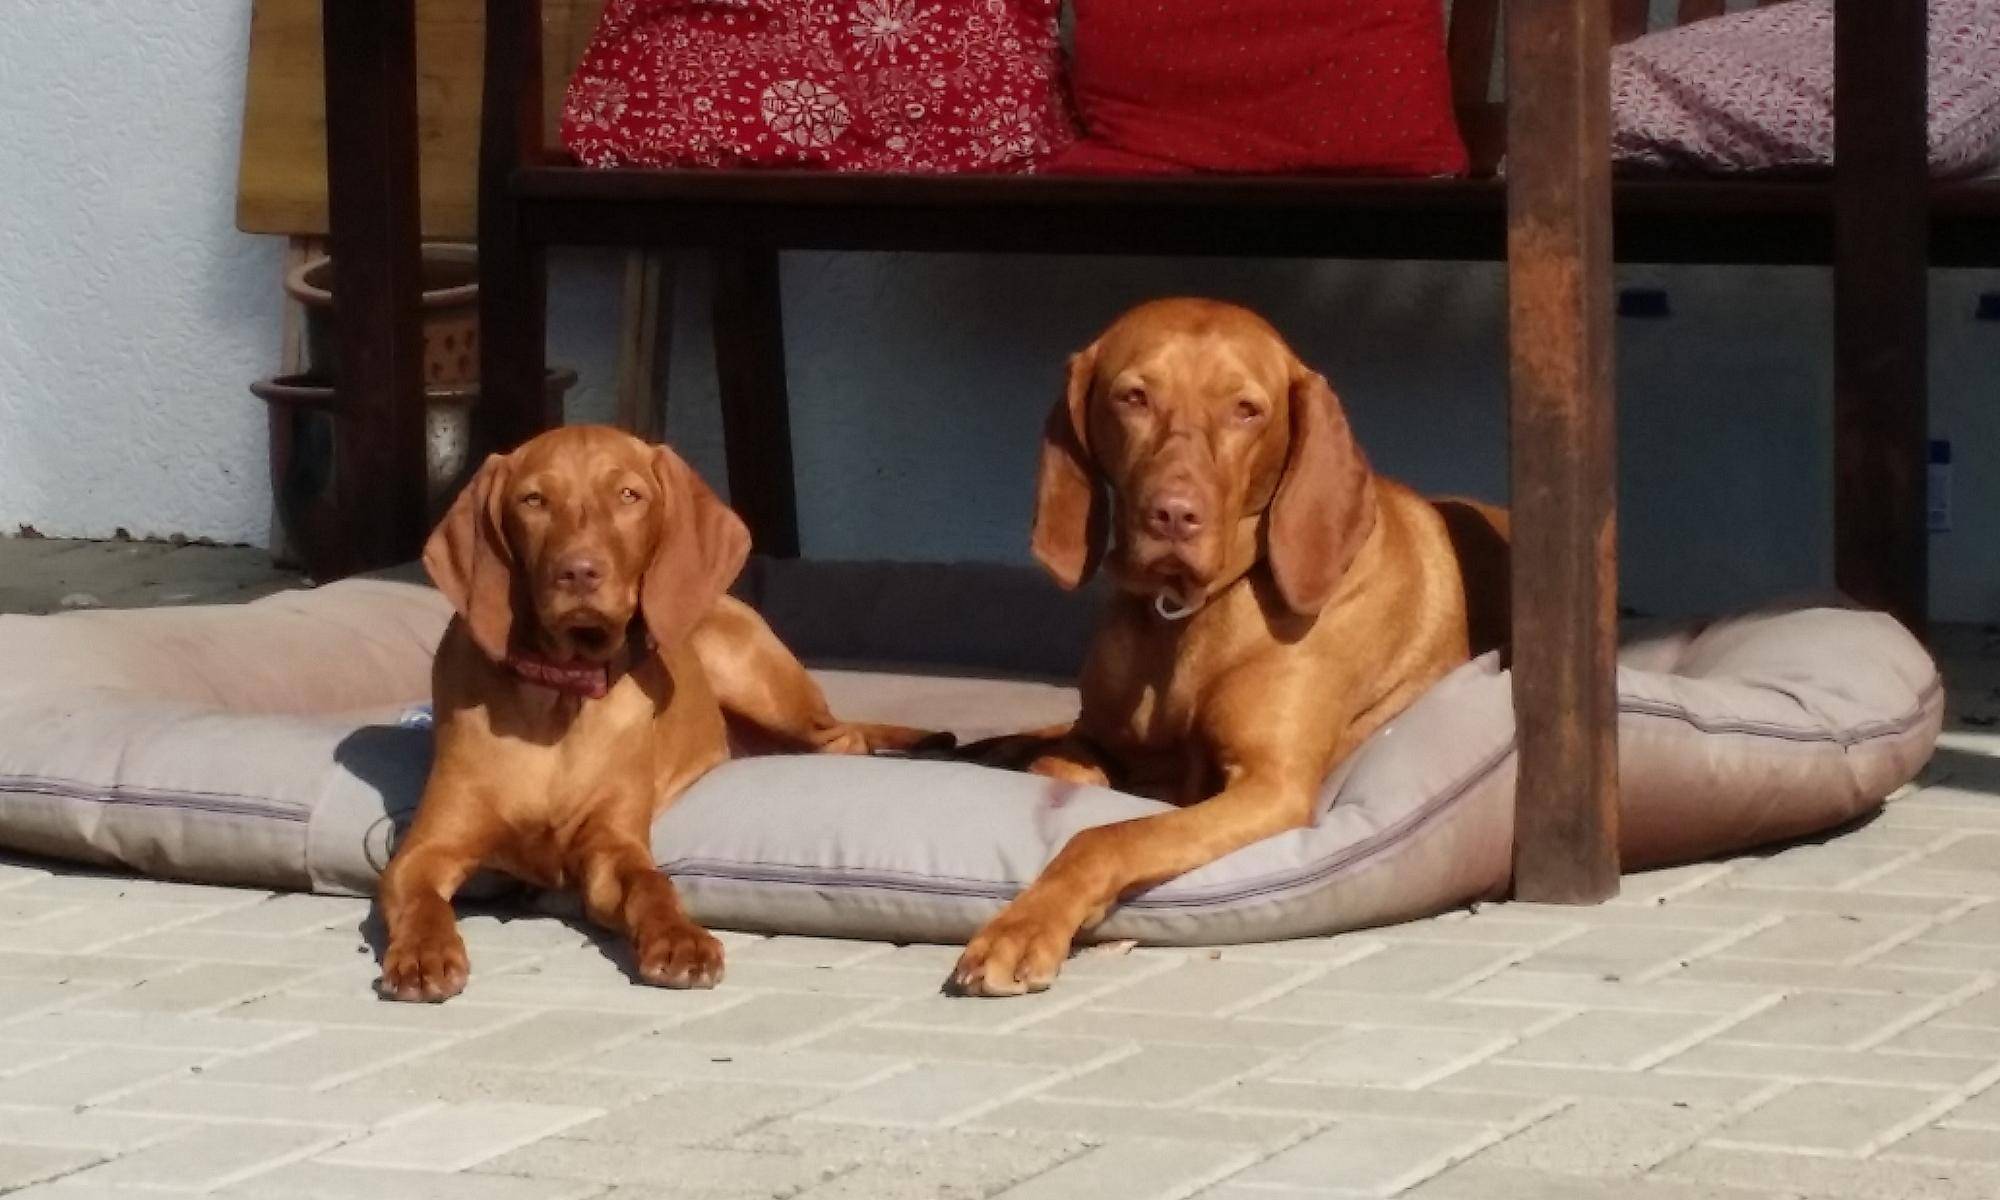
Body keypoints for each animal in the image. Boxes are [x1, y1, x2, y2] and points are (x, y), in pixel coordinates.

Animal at [378, 426, 940, 1000]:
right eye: (533, 501)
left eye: (629, 495)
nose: (578, 572)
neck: (560, 697)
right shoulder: (425, 849)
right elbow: (421, 901)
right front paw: (424, 952)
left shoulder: (613, 845)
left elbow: (652, 885)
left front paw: (680, 940)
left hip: (757, 679)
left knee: (844, 740)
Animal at [948, 298, 1504, 992]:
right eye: (1133, 397)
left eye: (1246, 410)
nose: (1173, 515)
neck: (1183, 615)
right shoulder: (1097, 739)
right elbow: (1073, 772)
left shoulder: (1270, 784)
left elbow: (1109, 835)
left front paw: (1025, 927)